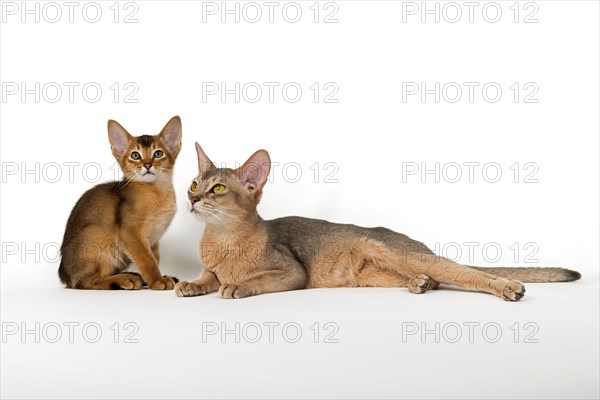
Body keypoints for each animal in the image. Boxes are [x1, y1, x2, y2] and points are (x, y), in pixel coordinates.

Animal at [60, 117, 183, 290]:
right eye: (135, 155)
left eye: (158, 153)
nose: (147, 165)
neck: (157, 191)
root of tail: (64, 275)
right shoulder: (131, 233)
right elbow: (147, 261)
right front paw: (158, 280)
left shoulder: (153, 240)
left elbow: (155, 259)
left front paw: (156, 278)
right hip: (96, 234)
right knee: (85, 282)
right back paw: (124, 279)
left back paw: (135, 276)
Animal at [177, 143, 580, 300]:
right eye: (194, 183)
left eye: (217, 189)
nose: (192, 199)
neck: (222, 238)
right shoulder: (210, 267)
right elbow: (207, 277)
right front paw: (191, 285)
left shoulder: (293, 273)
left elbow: (254, 281)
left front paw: (237, 286)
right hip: (374, 272)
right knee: (434, 277)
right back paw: (421, 283)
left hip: (397, 252)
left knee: (464, 272)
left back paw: (508, 286)